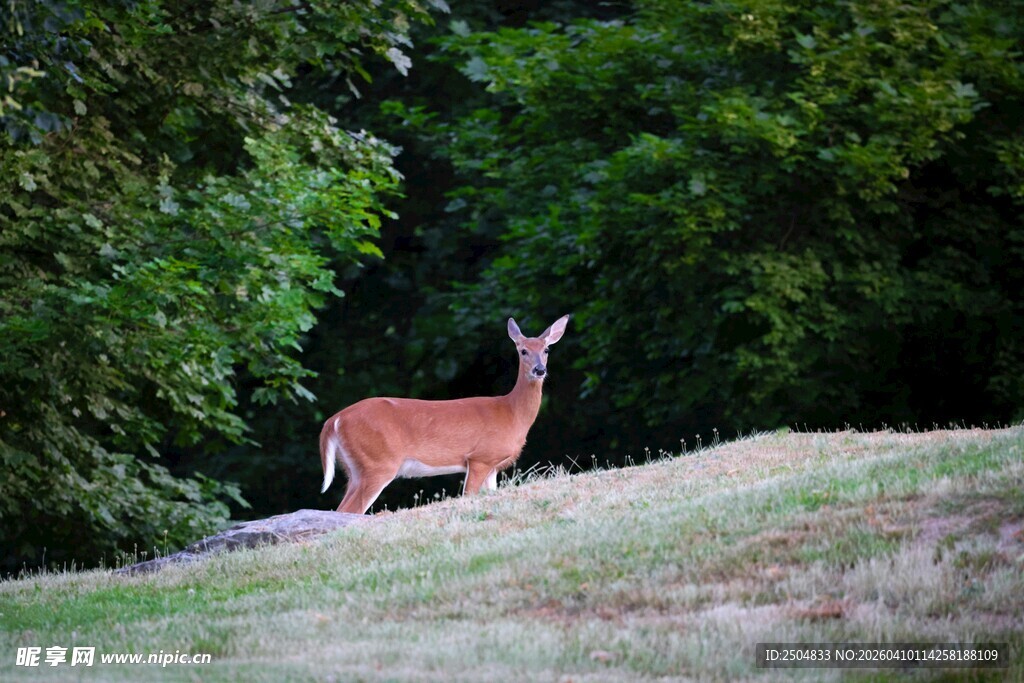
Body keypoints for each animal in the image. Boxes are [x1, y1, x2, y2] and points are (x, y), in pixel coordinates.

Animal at [319, 315, 570, 514]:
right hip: (378, 462)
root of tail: (334, 420)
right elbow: (468, 495)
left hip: (355, 468)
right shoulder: (480, 457)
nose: (540, 370)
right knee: (351, 510)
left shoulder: (492, 466)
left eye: (546, 349)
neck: (510, 412)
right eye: (523, 350)